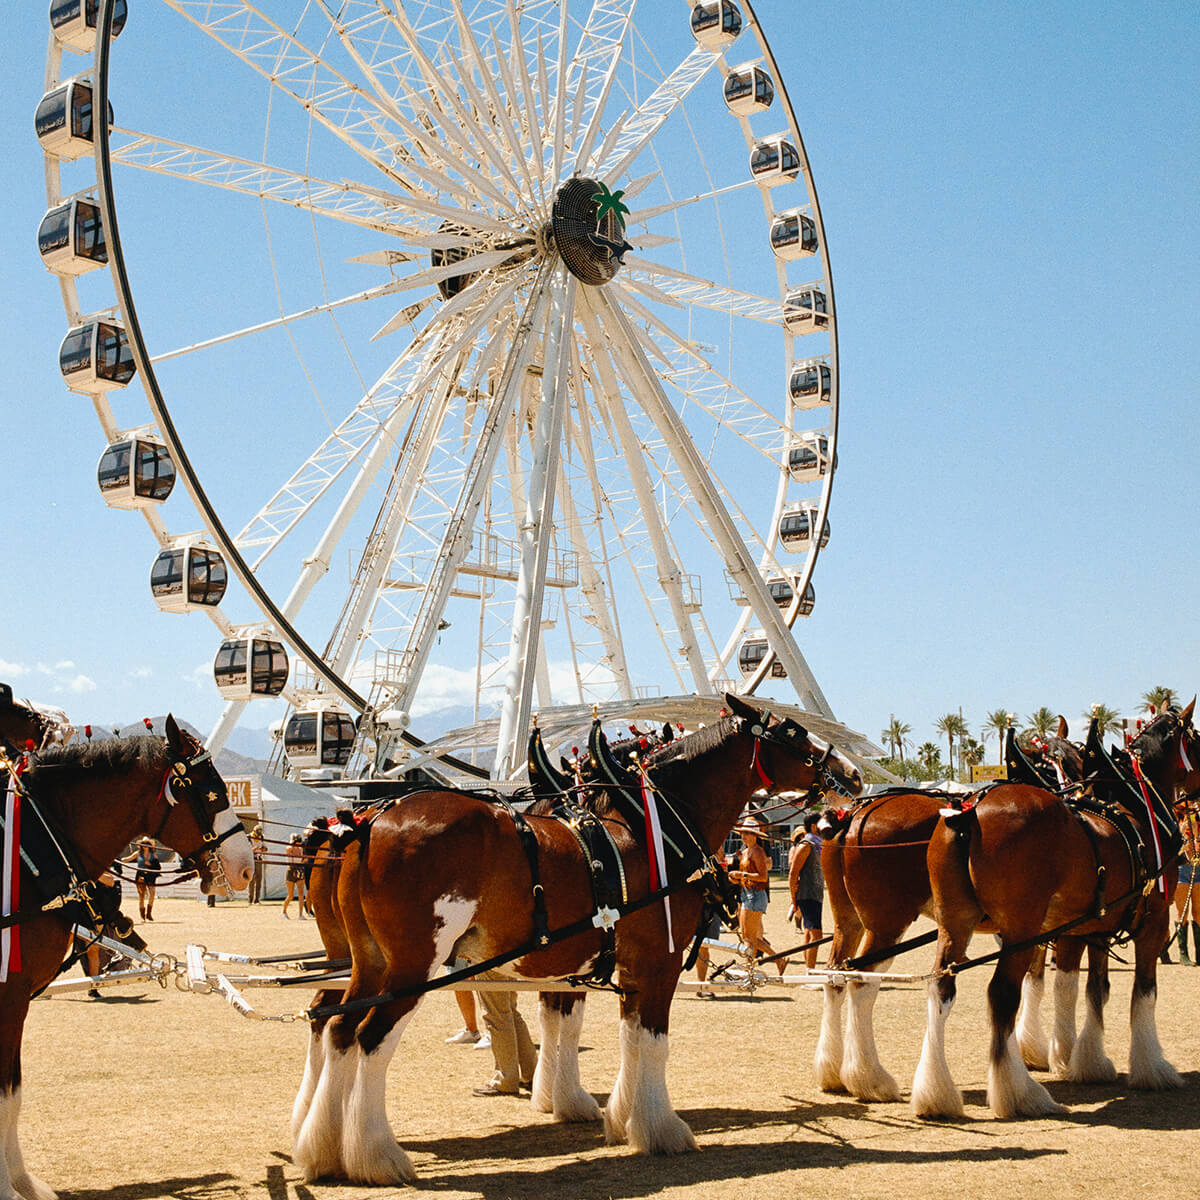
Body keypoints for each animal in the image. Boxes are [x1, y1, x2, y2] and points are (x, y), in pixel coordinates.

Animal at [0, 715, 253, 1195]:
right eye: (213, 792)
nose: (246, 866)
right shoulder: (9, 995)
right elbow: (5, 1095)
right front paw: (9, 1188)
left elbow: (13, 1095)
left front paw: (24, 1183)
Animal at [285, 700, 859, 1185]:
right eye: (794, 734)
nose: (850, 775)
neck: (650, 826)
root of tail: (367, 821)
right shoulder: (659, 961)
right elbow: (652, 1041)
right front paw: (661, 1130)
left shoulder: (609, 965)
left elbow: (611, 1034)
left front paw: (611, 1116)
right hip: (414, 968)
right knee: (368, 1038)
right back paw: (377, 1157)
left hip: (370, 963)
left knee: (336, 1027)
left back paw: (324, 1150)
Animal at [916, 700, 1190, 1113]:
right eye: (1196, 738)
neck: (1136, 808)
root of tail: (968, 810)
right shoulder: (1153, 922)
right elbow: (1143, 991)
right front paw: (1152, 1067)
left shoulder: (1087, 928)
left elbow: (1087, 988)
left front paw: (1085, 1060)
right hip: (1020, 929)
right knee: (1001, 994)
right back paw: (1019, 1092)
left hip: (956, 924)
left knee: (941, 988)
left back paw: (936, 1094)